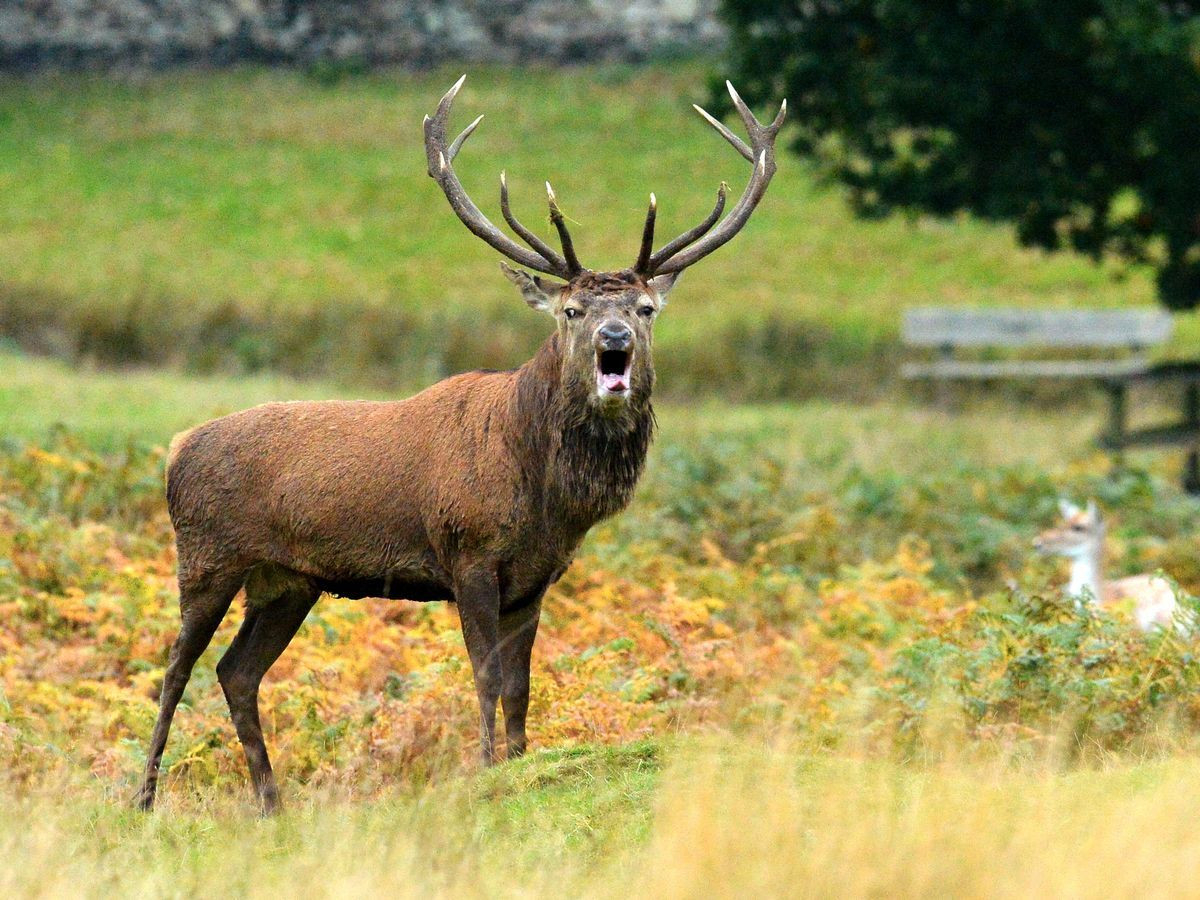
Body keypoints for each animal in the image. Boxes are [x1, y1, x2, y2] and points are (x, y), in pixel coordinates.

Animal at [136, 74, 787, 816]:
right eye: (572, 310)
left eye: (645, 308)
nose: (614, 338)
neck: (542, 494)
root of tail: (176, 449)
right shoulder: (468, 554)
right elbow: (484, 678)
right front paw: (483, 773)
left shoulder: (534, 577)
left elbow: (521, 687)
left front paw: (522, 766)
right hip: (206, 556)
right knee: (176, 666)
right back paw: (143, 797)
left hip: (287, 581)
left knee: (235, 671)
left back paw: (271, 802)